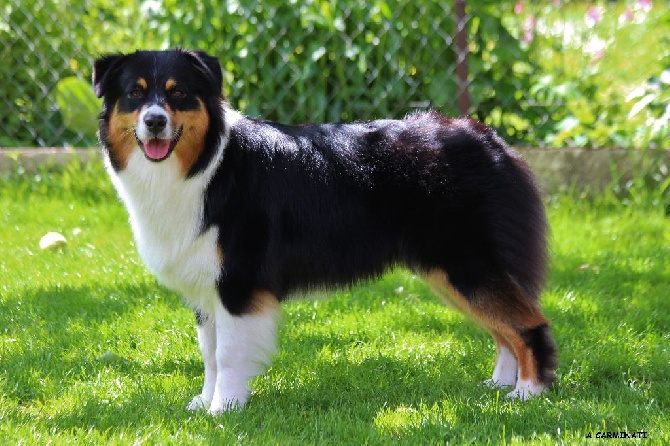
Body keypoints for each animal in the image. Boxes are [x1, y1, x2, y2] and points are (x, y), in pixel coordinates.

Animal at [93, 48, 556, 414]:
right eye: (134, 93)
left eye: (178, 93)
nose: (155, 121)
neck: (206, 167)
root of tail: (489, 139)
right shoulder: (207, 284)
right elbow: (208, 352)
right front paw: (205, 401)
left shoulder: (239, 283)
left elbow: (227, 353)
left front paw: (224, 409)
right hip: (450, 270)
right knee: (503, 328)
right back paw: (500, 385)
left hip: (464, 262)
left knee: (527, 323)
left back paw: (528, 393)